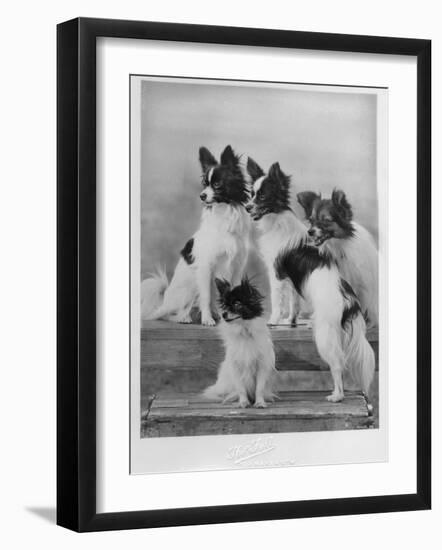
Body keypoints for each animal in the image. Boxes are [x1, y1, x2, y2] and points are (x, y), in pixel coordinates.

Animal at [142, 147, 252, 328]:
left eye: (217, 184)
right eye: (204, 184)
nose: (201, 196)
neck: (224, 213)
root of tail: (164, 299)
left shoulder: (237, 267)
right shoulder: (206, 268)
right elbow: (206, 297)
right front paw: (207, 320)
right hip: (190, 285)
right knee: (170, 313)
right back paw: (185, 318)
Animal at [204, 280, 276, 410]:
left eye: (237, 304)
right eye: (225, 305)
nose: (223, 314)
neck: (244, 331)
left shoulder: (262, 366)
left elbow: (259, 388)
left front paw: (260, 402)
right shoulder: (236, 367)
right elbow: (241, 388)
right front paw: (243, 402)